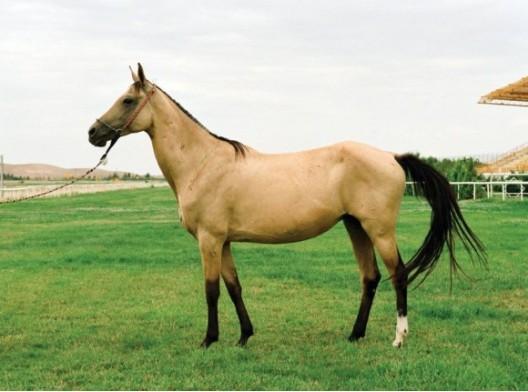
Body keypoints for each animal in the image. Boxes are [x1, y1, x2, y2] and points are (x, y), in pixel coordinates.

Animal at [87, 64, 486, 350]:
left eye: (127, 100)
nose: (93, 132)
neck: (203, 163)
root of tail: (391, 156)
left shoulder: (209, 239)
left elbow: (211, 289)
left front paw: (209, 340)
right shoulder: (224, 241)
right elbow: (234, 287)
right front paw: (244, 336)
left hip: (380, 230)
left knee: (398, 274)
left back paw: (399, 338)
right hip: (354, 226)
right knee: (370, 277)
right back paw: (354, 334)